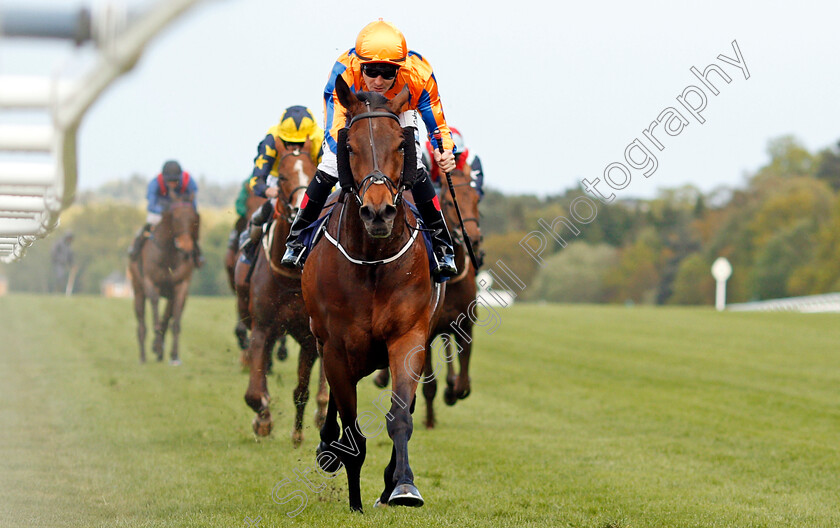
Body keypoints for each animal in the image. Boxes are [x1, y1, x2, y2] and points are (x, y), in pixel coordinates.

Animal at [129, 192, 199, 366]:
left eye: (194, 217)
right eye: (176, 217)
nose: (186, 246)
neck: (168, 253)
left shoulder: (180, 287)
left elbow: (175, 321)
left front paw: (174, 355)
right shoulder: (150, 282)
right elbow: (155, 309)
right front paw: (158, 346)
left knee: (167, 316)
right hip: (138, 290)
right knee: (141, 324)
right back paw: (143, 356)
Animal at [238, 141, 330, 446]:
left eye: (313, 173)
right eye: (283, 177)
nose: (302, 209)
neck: (289, 272)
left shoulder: (309, 336)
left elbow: (301, 390)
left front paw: (298, 433)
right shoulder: (263, 327)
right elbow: (255, 392)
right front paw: (263, 420)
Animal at [302, 77, 446, 512]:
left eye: (401, 144)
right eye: (349, 147)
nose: (378, 212)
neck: (373, 260)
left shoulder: (408, 337)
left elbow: (401, 417)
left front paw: (403, 486)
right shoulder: (334, 346)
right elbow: (351, 433)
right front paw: (354, 501)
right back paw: (328, 450)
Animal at [372, 166, 482, 428]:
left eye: (476, 200)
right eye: (450, 203)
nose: (473, 238)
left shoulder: (466, 325)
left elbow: (464, 382)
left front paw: (454, 390)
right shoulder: (424, 331)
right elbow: (429, 383)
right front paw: (430, 419)